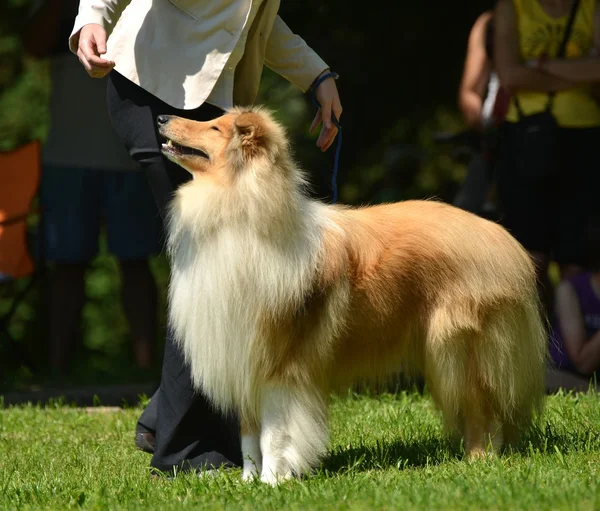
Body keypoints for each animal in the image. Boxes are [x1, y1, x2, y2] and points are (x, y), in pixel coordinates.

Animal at [158, 107, 548, 484]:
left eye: (214, 128)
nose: (162, 118)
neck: (235, 211)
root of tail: (505, 241)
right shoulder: (242, 357)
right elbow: (249, 436)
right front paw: (248, 481)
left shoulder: (280, 365)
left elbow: (274, 434)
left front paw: (273, 482)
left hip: (455, 349)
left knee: (481, 407)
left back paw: (478, 460)